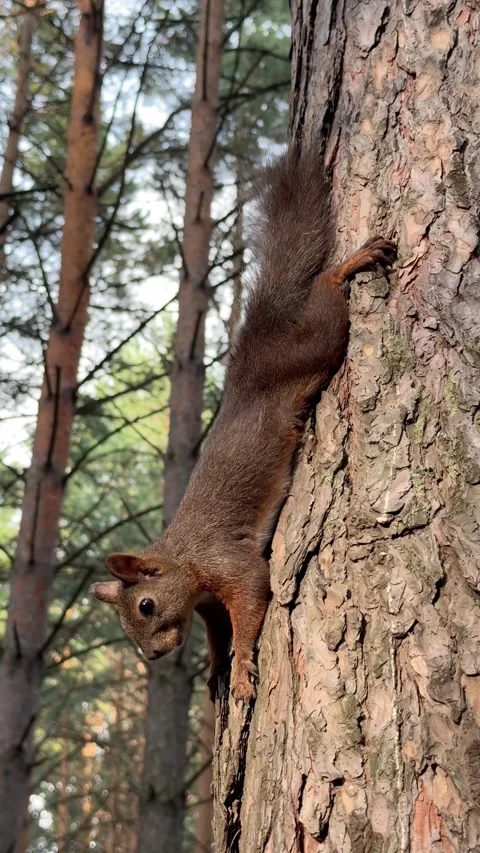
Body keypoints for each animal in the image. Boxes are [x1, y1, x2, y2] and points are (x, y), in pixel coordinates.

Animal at [91, 147, 396, 702]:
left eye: (146, 605)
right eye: (125, 624)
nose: (153, 655)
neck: (186, 561)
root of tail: (254, 348)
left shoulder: (230, 567)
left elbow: (253, 602)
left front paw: (242, 674)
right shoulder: (209, 606)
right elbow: (219, 633)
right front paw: (217, 668)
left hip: (311, 346)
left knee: (326, 300)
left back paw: (352, 264)